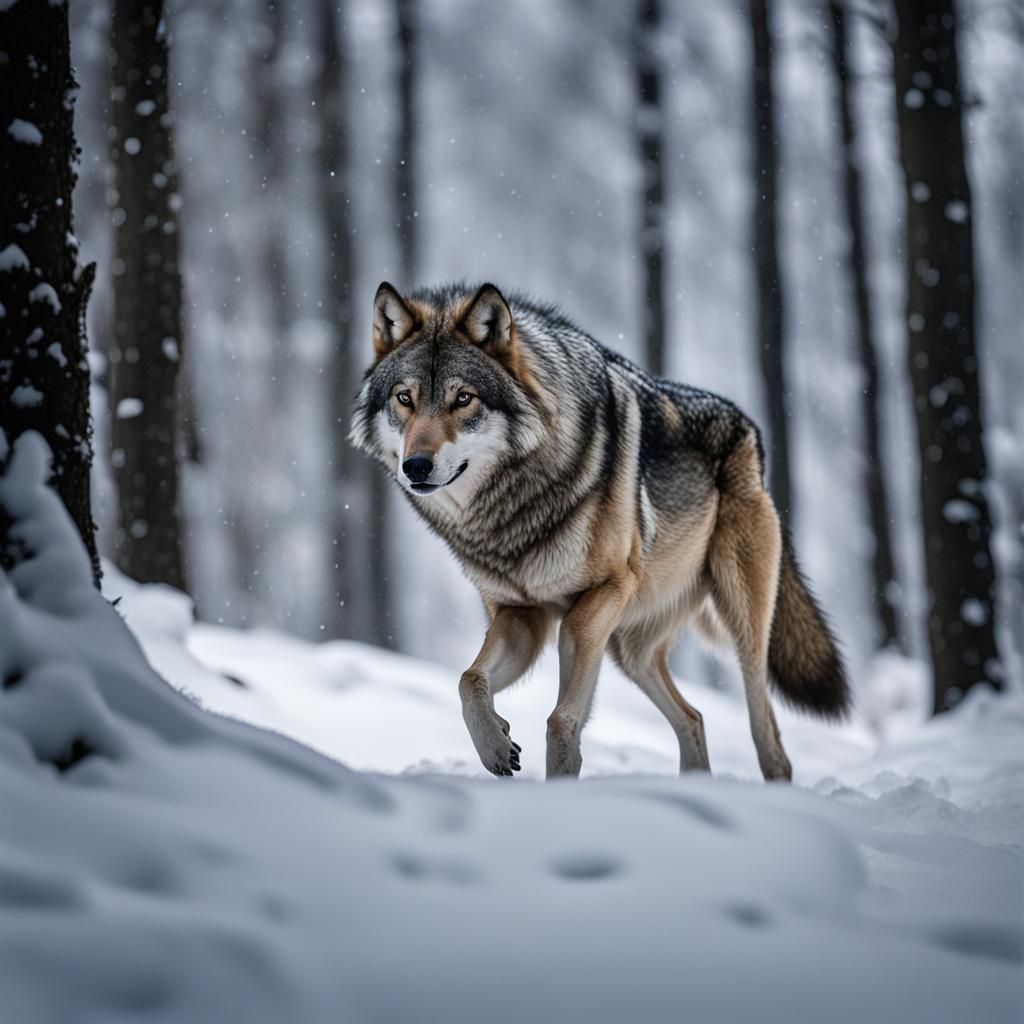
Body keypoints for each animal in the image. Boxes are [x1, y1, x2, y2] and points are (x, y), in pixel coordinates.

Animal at [351, 281, 849, 781]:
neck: (509, 511)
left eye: (463, 399)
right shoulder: (520, 614)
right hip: (631, 653)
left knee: (768, 738)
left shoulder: (598, 598)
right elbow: (468, 679)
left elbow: (561, 719)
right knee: (694, 718)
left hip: (738, 625)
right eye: (405, 399)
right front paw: (497, 742)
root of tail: (751, 433)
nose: (416, 466)